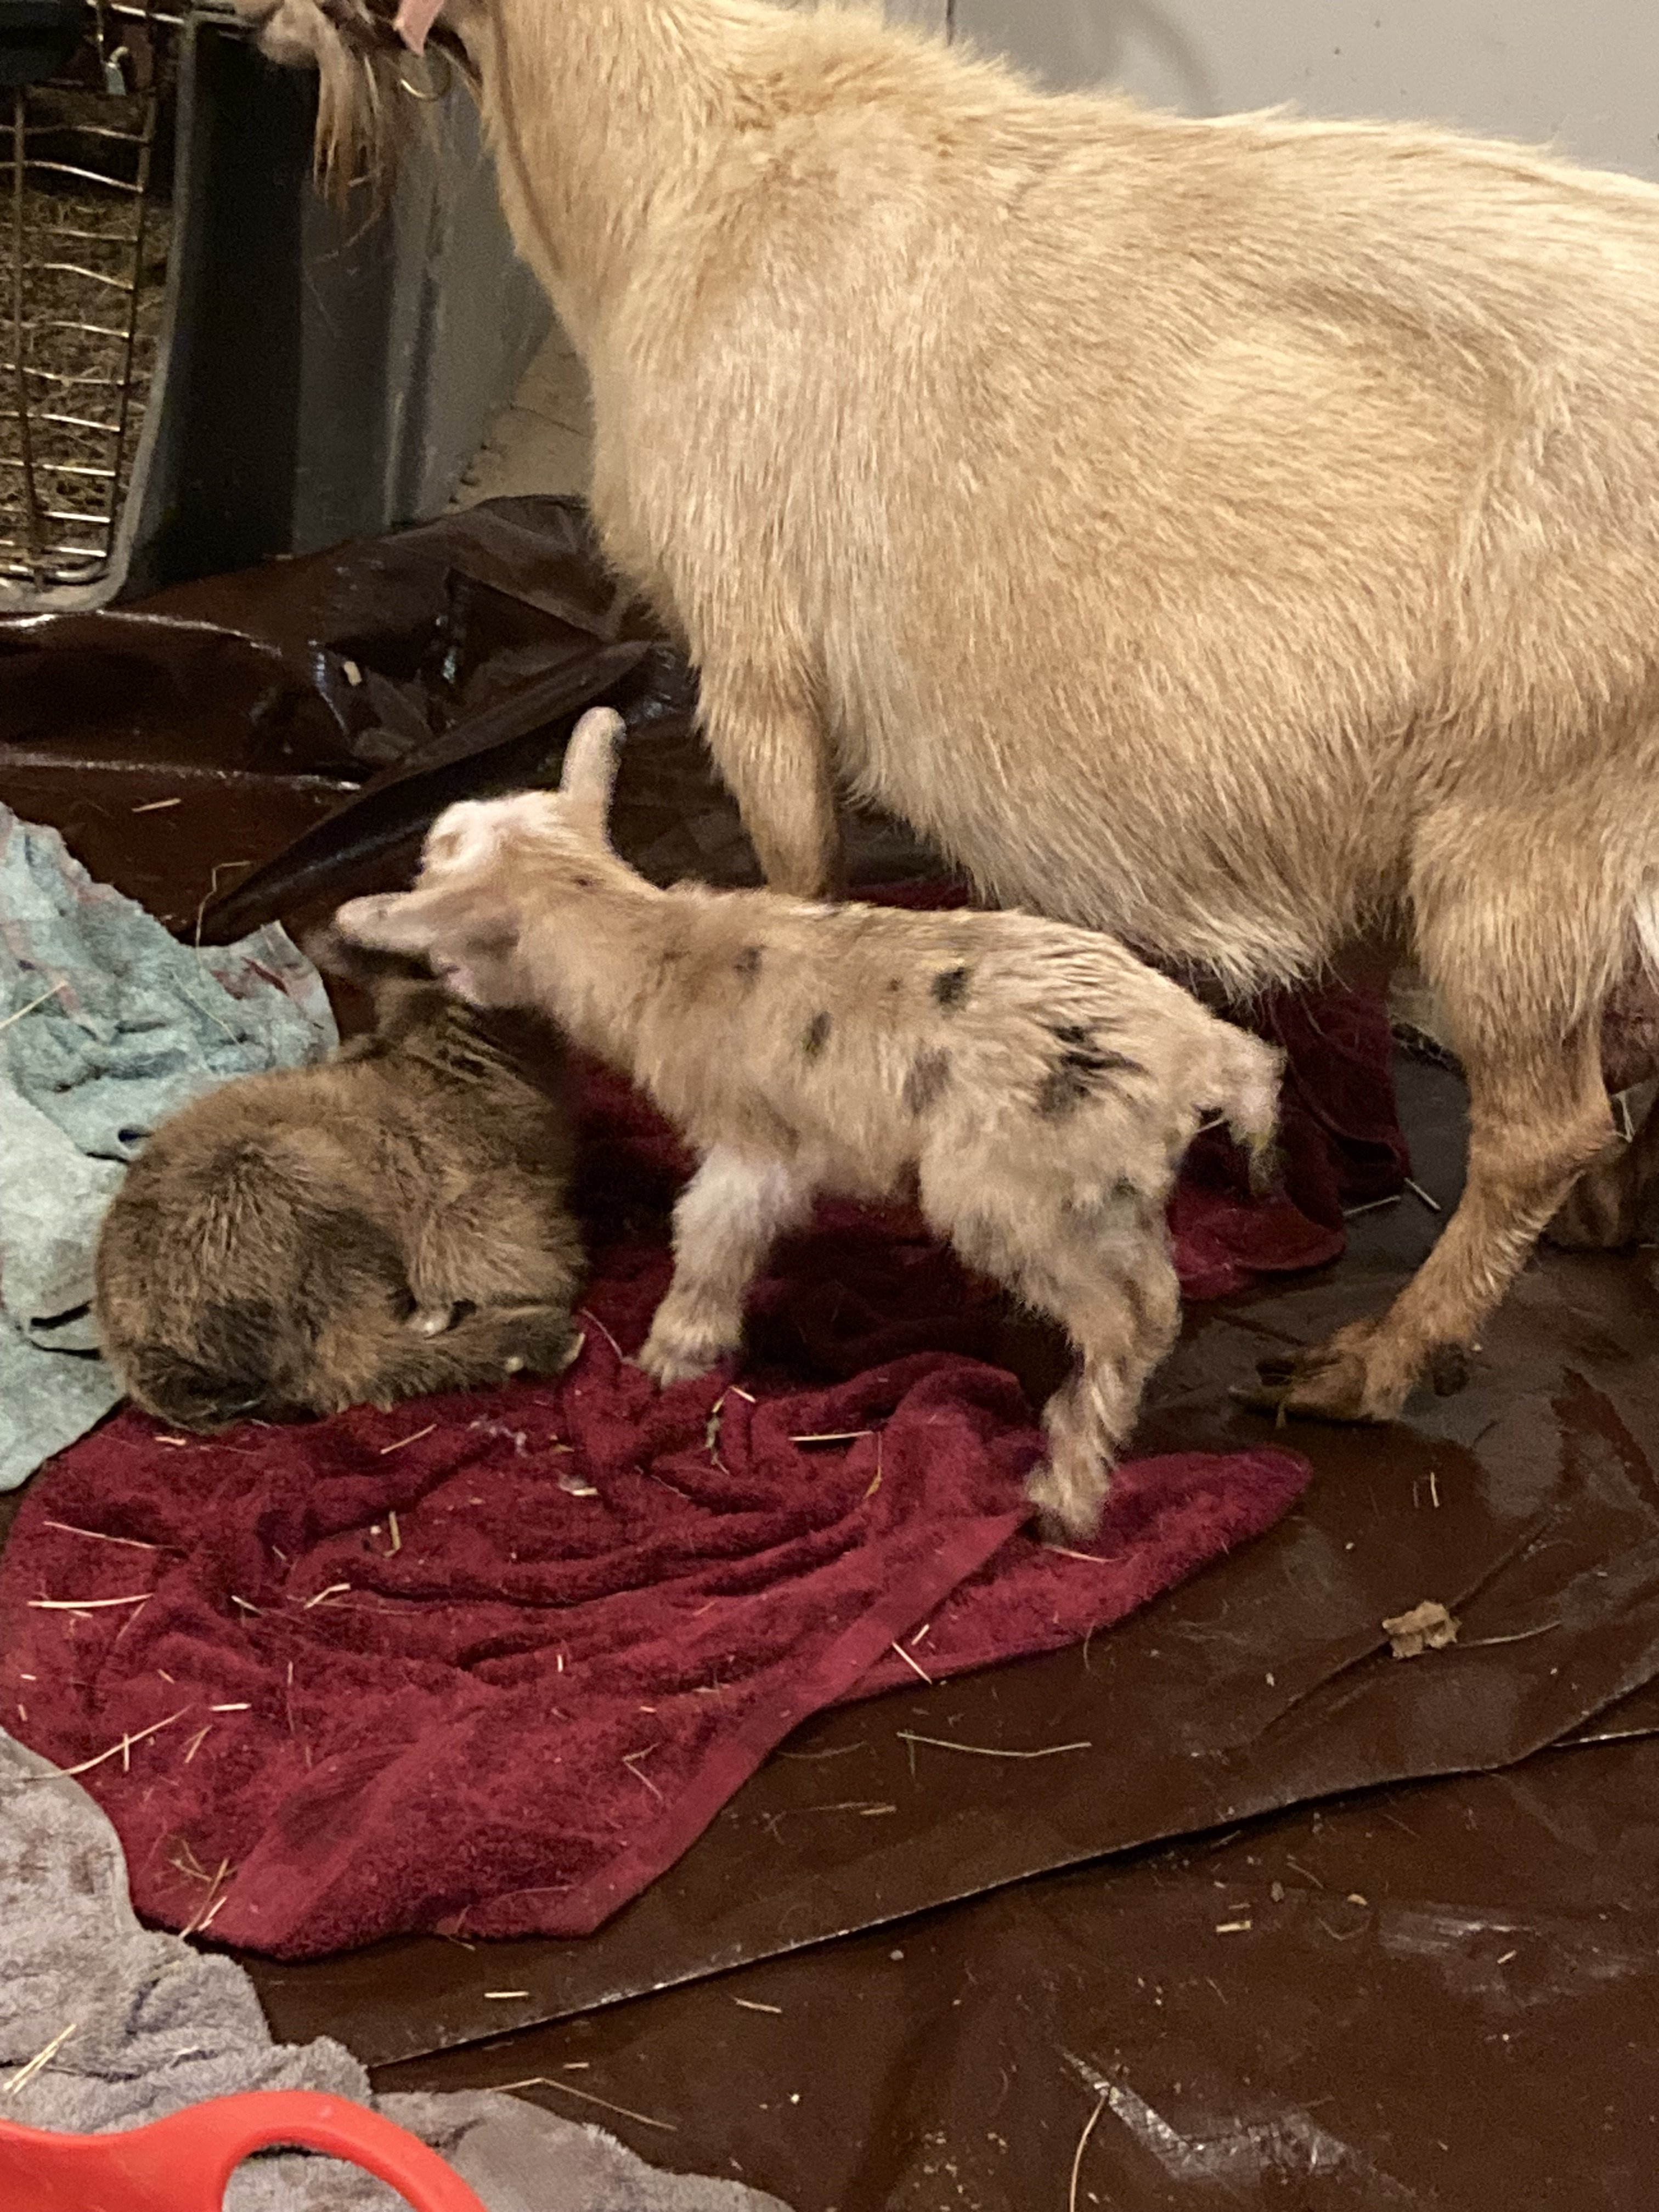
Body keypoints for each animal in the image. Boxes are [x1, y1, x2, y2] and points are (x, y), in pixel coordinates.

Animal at [234, 0, 1659, 1428]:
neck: (699, 157)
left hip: (1529, 827)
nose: (255, 29)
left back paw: (1373, 1362)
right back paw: (1602, 1217)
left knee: (1541, 1126)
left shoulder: (755, 659)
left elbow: (796, 878)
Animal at [334, 708, 1283, 1538]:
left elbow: (709, 1237)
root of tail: (1198, 1051)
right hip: (1109, 1191)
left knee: (1115, 1322)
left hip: (1009, 1196)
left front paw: (673, 1353)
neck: (653, 950)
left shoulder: (748, 1151)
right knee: (1156, 1302)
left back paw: (1065, 1492)